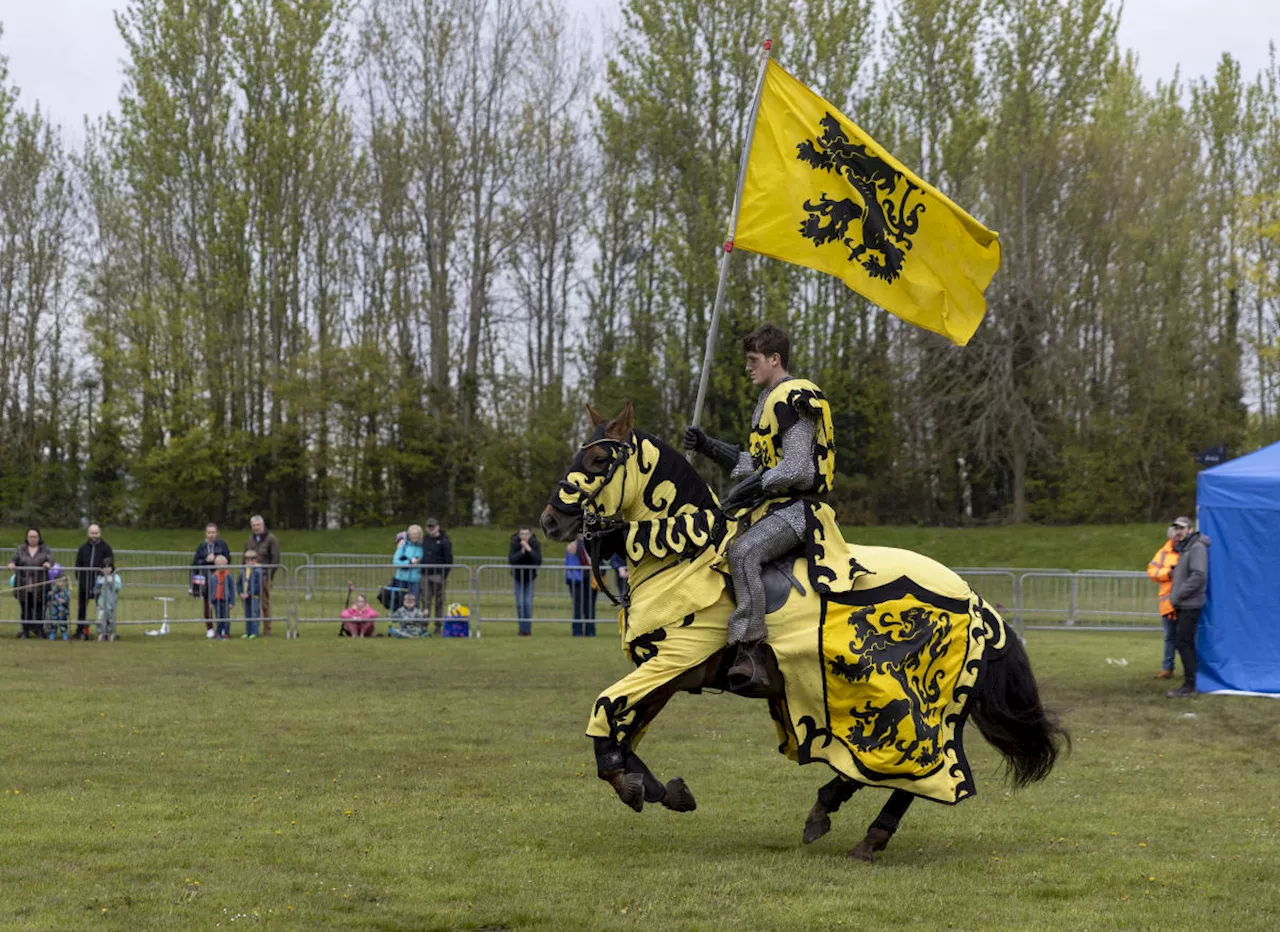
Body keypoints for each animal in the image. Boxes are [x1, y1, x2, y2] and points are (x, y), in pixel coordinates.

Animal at [542, 404, 1070, 860]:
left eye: (597, 459)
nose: (551, 520)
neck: (682, 555)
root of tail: (976, 600)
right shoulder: (668, 676)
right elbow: (625, 733)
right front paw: (660, 790)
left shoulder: (675, 661)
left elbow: (604, 710)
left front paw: (629, 784)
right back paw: (827, 805)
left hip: (913, 701)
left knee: (918, 769)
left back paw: (868, 836)